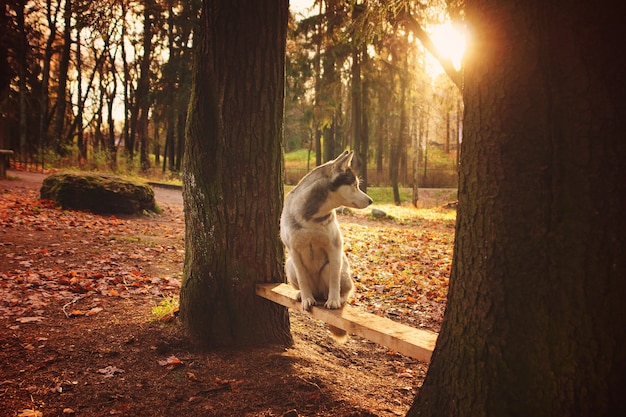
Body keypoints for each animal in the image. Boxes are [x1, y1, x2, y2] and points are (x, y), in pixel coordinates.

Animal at [280, 150, 370, 338]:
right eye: (355, 185)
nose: (371, 200)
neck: (311, 217)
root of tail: (320, 294)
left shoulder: (334, 247)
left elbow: (334, 279)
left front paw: (334, 300)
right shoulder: (293, 251)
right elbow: (303, 279)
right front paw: (306, 298)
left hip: (334, 269)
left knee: (345, 288)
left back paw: (338, 298)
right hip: (290, 266)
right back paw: (302, 295)